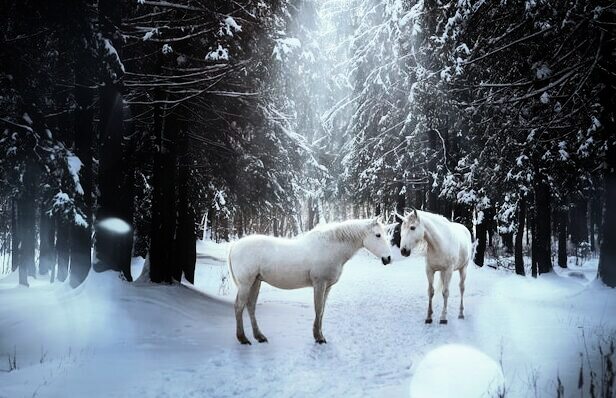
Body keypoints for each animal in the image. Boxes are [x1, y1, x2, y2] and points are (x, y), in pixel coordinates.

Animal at [229, 218, 392, 346]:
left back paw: (259, 336)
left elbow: (322, 311)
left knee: (250, 306)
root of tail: (234, 246)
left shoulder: (327, 287)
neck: (331, 247)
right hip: (246, 284)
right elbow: (318, 309)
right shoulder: (319, 284)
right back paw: (243, 338)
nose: (388, 258)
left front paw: (319, 335)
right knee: (239, 306)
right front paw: (319, 338)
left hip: (255, 282)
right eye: (378, 235)